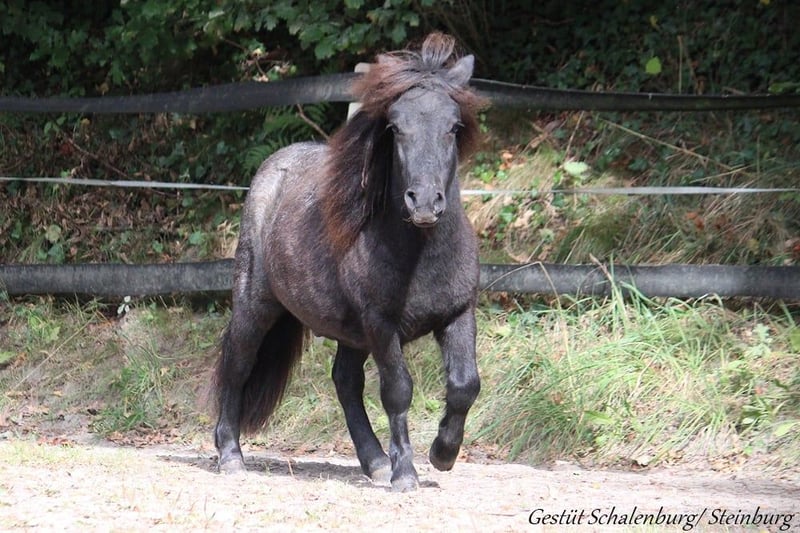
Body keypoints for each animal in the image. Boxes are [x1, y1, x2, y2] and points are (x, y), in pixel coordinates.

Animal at [212, 33, 486, 492]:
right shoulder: (380, 324)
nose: (424, 202)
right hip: (256, 305)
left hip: (350, 333)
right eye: (395, 127)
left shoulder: (458, 313)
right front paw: (406, 474)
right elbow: (397, 391)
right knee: (238, 364)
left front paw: (442, 454)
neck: (419, 256)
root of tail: (273, 169)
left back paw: (374, 462)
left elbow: (465, 384)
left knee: (345, 381)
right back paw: (230, 455)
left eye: (453, 127)